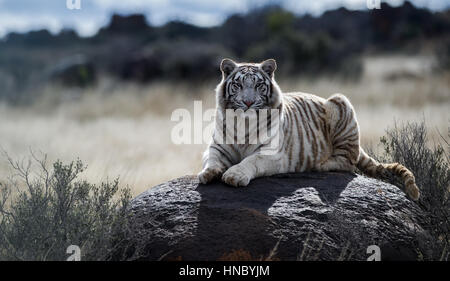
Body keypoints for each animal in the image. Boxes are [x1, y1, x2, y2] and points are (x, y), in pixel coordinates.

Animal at [199, 58, 420, 200]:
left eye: (258, 85)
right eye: (238, 85)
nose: (248, 102)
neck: (244, 123)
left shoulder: (272, 153)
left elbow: (250, 160)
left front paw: (234, 175)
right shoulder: (217, 147)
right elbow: (212, 160)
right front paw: (208, 174)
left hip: (340, 101)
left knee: (348, 162)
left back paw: (320, 165)